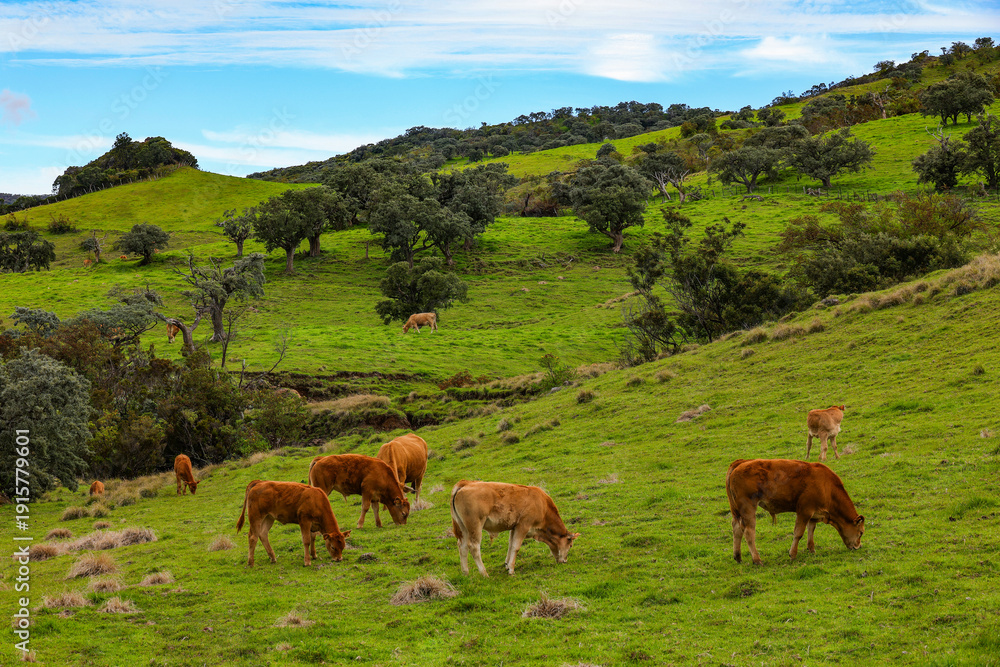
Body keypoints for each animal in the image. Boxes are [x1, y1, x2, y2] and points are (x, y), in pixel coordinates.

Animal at [449, 480, 581, 577]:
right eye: (570, 545)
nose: (565, 560)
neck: (542, 507)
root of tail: (465, 484)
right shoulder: (523, 525)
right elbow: (516, 547)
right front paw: (511, 570)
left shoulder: (514, 527)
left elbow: (510, 545)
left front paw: (507, 564)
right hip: (475, 525)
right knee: (474, 547)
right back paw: (484, 573)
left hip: (464, 528)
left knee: (462, 546)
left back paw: (465, 573)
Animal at [726, 458, 865, 565]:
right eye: (861, 532)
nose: (858, 546)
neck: (827, 487)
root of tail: (741, 462)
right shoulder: (804, 510)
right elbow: (798, 533)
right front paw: (792, 554)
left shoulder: (813, 514)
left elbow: (811, 529)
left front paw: (811, 549)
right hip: (748, 509)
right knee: (748, 533)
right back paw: (757, 560)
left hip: (737, 512)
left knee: (737, 529)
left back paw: (738, 557)